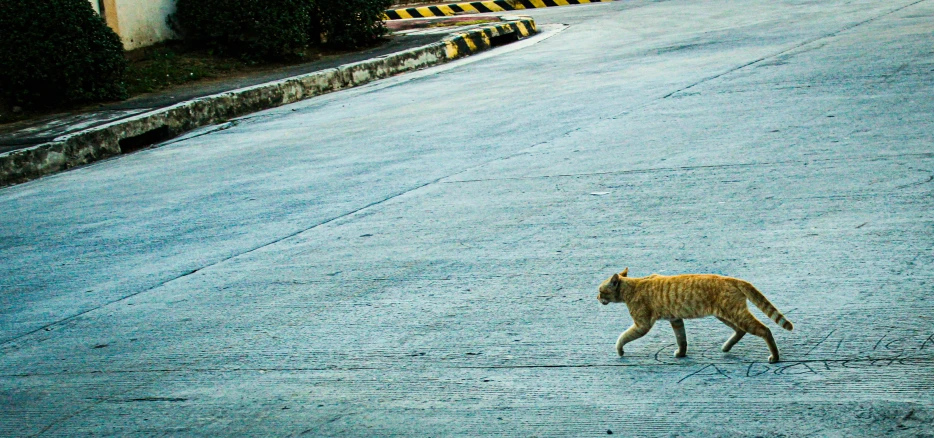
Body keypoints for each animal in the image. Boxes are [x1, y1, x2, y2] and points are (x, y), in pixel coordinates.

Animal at [604, 266, 792, 362]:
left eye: (601, 291)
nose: (598, 297)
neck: (632, 287)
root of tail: (732, 279)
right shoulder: (676, 319)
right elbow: (681, 339)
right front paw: (681, 354)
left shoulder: (642, 324)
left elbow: (623, 337)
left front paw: (619, 350)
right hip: (725, 314)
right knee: (741, 331)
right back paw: (726, 347)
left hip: (735, 314)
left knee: (764, 330)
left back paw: (775, 357)